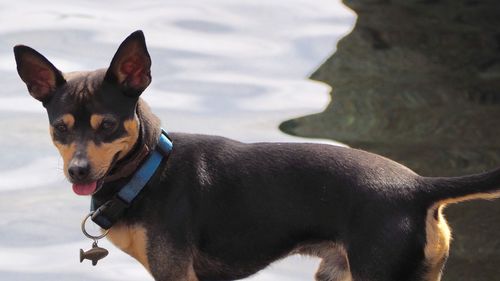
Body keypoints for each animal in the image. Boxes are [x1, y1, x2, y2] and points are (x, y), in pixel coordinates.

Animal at [13, 30, 500, 280]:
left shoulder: (174, 274)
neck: (147, 173)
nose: (78, 170)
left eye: (108, 126)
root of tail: (418, 186)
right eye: (60, 128)